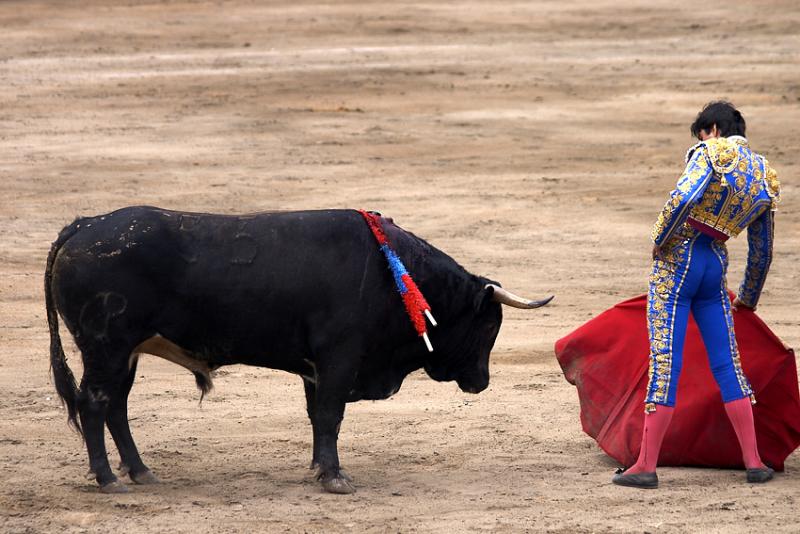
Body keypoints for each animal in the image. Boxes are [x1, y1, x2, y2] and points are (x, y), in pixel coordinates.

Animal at [45, 207, 552, 496]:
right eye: (490, 324)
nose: (481, 382)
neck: (397, 277)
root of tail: (83, 226)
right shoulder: (339, 359)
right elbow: (329, 414)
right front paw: (335, 478)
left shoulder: (316, 368)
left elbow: (316, 416)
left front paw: (317, 469)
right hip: (106, 348)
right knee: (95, 404)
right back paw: (108, 480)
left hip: (125, 353)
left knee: (117, 406)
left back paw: (140, 472)